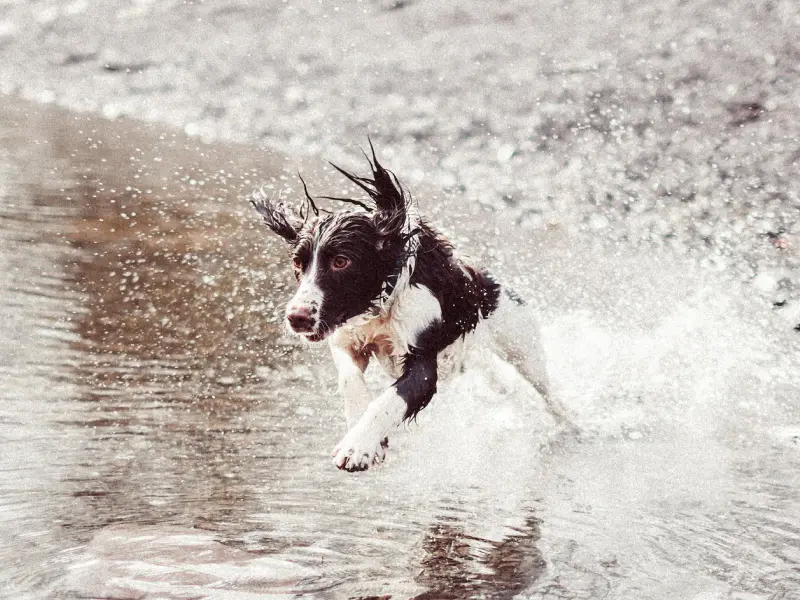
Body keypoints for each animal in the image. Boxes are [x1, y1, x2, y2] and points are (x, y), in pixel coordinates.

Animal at [250, 146, 556, 474]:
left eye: (341, 261)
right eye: (298, 262)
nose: (297, 318)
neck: (380, 307)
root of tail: (491, 282)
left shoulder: (422, 362)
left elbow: (389, 400)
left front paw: (357, 446)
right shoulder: (347, 340)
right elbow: (349, 380)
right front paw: (367, 437)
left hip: (523, 348)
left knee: (550, 396)